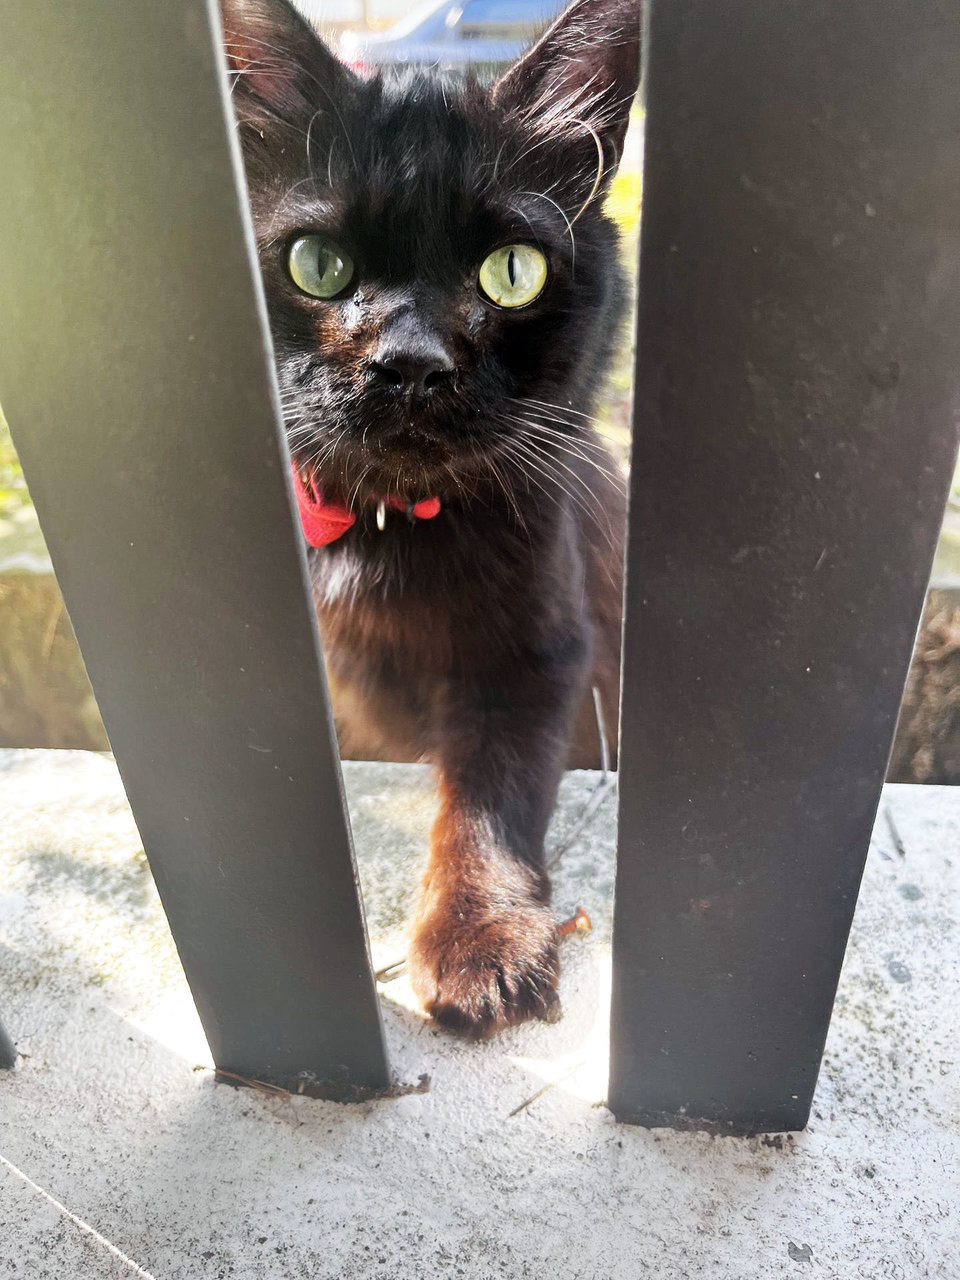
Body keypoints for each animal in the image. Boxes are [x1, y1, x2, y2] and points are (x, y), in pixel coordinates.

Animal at [221, 0, 642, 1039]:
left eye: (512, 272)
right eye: (318, 265)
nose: (410, 361)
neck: (388, 528)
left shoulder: (541, 652)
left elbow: (487, 794)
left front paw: (482, 940)